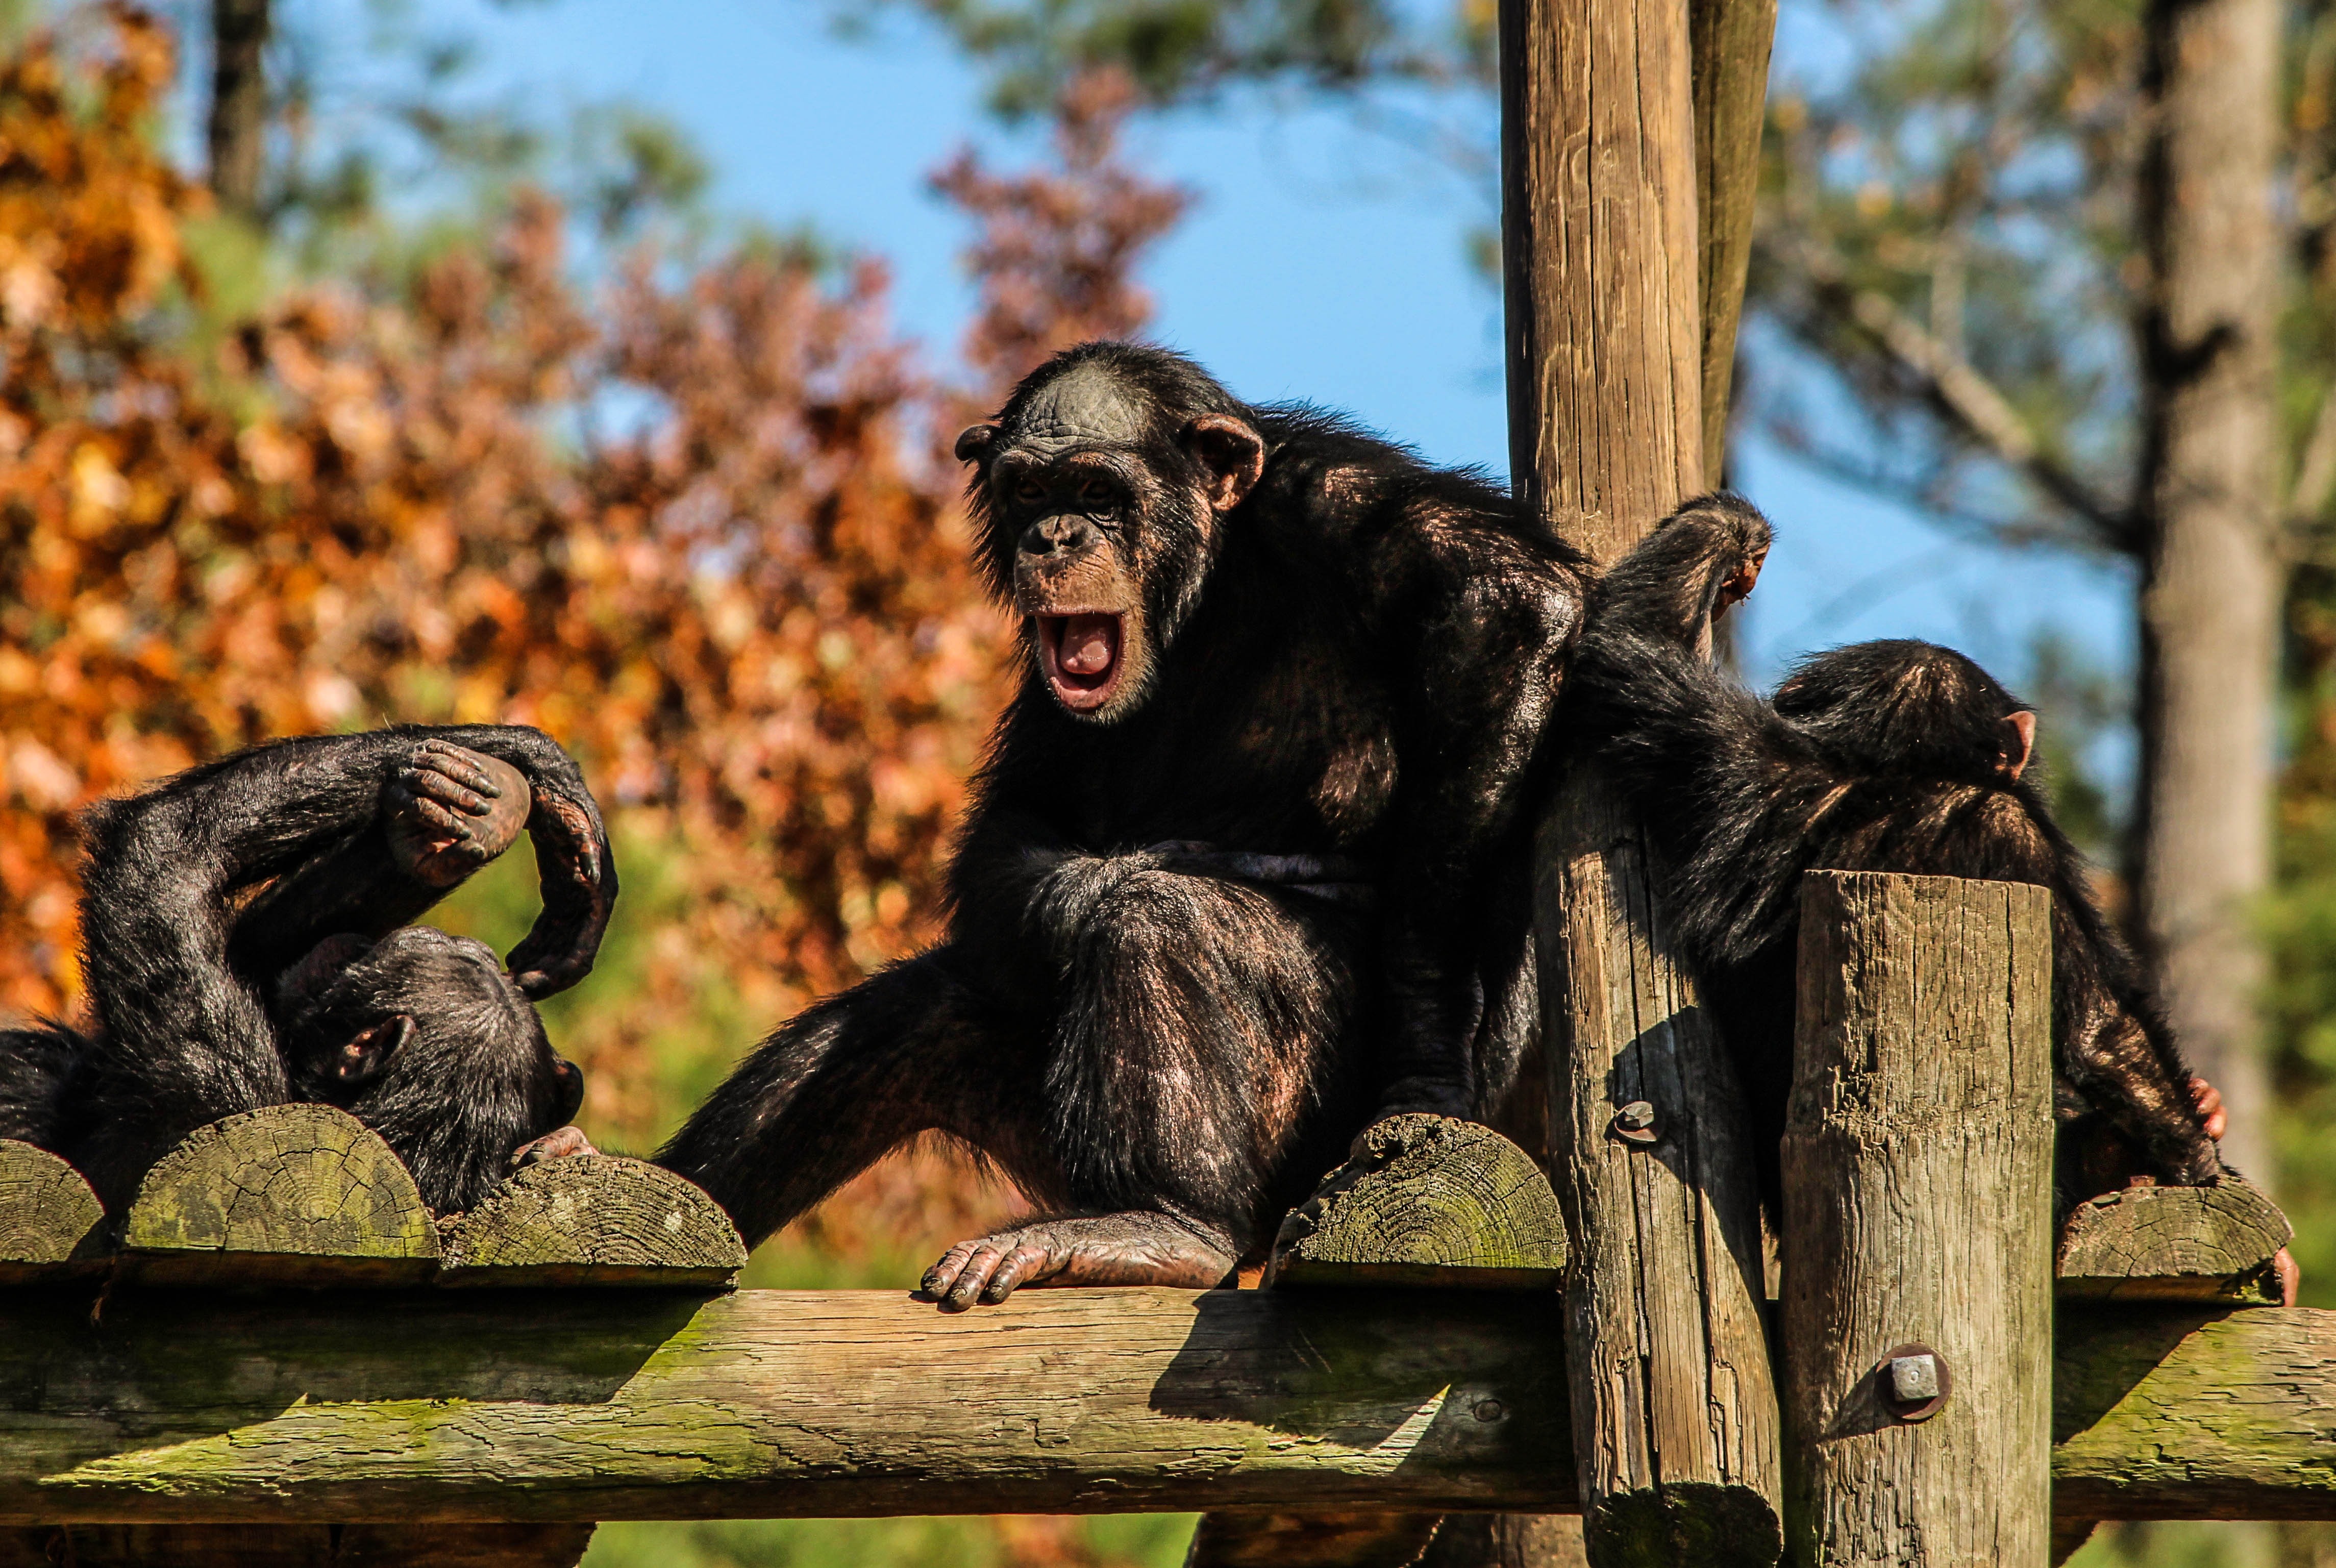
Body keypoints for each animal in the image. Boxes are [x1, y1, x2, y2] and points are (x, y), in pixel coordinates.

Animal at [0, 729, 616, 1224]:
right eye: (443, 946)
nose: (359, 947)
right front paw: (527, 800)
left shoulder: (209, 1080)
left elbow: (169, 851)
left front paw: (528, 755)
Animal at [1570, 497, 2224, 1206]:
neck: (1892, 770)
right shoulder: (2014, 831)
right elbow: (2101, 1029)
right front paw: (2196, 1150)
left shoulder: (1729, 754)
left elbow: (1631, 645)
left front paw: (1734, 534)